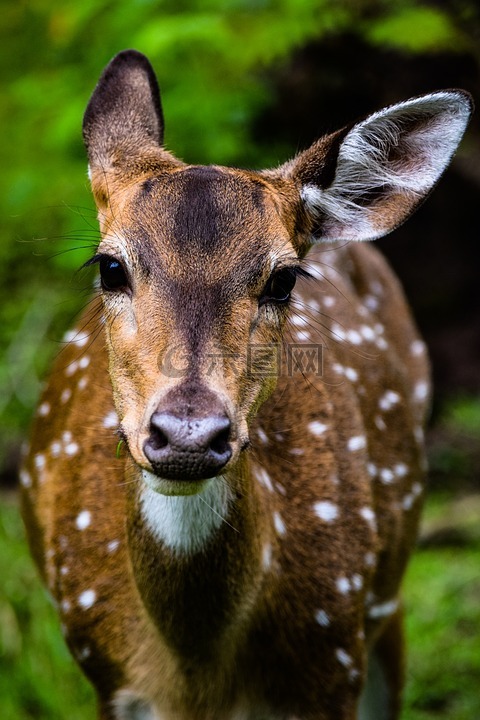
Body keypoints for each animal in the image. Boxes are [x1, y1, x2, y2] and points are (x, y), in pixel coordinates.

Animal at [19, 50, 472, 720]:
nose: (187, 433)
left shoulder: (334, 660)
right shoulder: (107, 673)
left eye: (283, 280)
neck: (195, 670)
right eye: (110, 266)